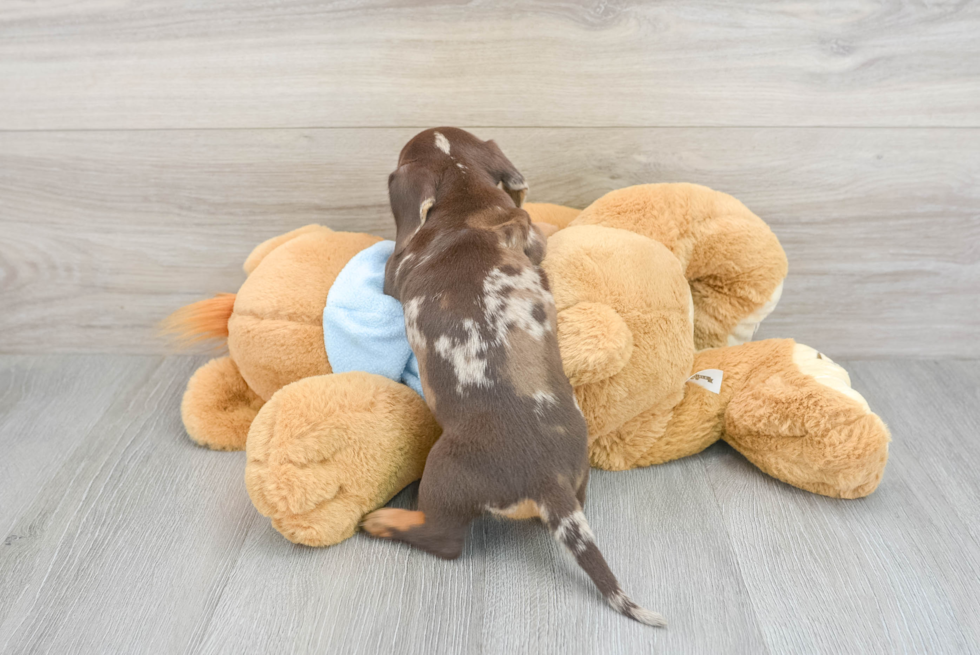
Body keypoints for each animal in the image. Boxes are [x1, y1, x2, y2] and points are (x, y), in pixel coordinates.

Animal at [362, 127, 668, 624]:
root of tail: (546, 481)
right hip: (580, 474)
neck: (465, 210)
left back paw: (385, 522)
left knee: (444, 541)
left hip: (443, 470)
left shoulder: (394, 273)